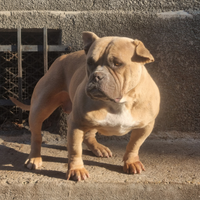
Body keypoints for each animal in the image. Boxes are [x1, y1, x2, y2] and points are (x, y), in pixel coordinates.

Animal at [10, 31, 160, 181]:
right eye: (90, 63)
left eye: (117, 63)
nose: (96, 76)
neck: (120, 102)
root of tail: (62, 57)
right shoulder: (76, 124)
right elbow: (76, 150)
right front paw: (76, 170)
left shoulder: (145, 126)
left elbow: (134, 145)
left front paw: (131, 162)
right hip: (40, 108)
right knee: (36, 136)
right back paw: (34, 158)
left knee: (89, 134)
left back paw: (98, 148)